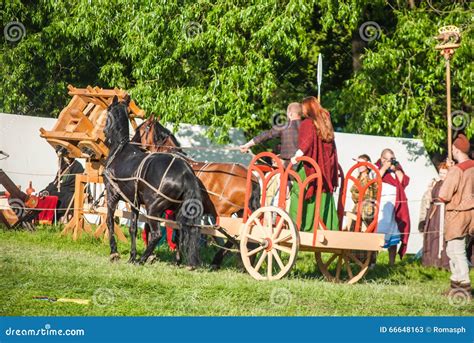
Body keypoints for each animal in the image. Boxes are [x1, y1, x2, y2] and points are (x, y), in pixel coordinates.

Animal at [103, 95, 203, 268]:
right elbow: (133, 228)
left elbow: (110, 222)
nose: (104, 133)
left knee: (156, 234)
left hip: (153, 208)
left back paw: (143, 259)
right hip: (177, 211)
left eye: (140, 129)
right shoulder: (134, 202)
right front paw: (132, 256)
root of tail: (186, 173)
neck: (120, 150)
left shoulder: (112, 195)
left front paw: (114, 252)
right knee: (181, 231)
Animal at [131, 118, 262, 268]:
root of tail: (250, 177)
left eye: (142, 129)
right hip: (240, 213)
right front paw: (177, 259)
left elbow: (153, 229)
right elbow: (177, 234)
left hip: (223, 215)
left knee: (235, 236)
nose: (132, 143)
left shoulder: (157, 206)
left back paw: (220, 260)